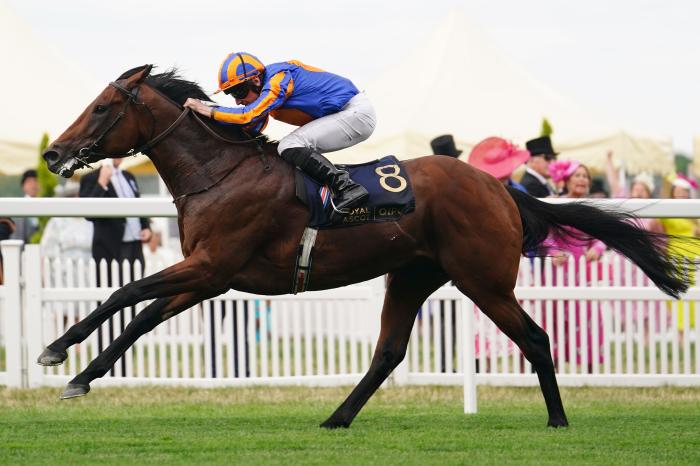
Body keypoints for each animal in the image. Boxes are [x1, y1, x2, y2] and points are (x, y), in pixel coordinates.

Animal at [42, 64, 688, 426]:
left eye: (102, 107)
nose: (53, 153)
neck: (219, 172)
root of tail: (502, 188)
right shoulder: (209, 274)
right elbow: (141, 314)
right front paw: (81, 375)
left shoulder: (210, 266)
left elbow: (122, 294)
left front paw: (56, 353)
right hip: (412, 276)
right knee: (388, 352)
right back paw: (336, 419)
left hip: (482, 279)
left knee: (534, 338)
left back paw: (557, 420)